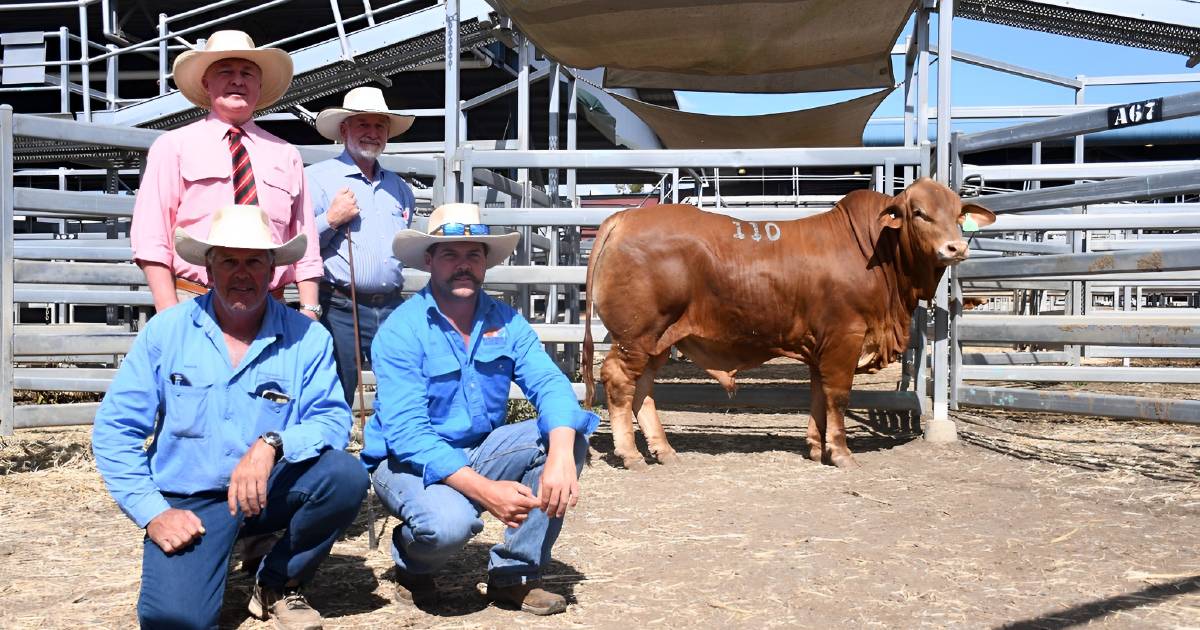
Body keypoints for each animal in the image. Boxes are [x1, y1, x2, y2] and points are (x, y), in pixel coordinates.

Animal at [580, 175, 993, 465]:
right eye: (918, 212)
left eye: (958, 214)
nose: (956, 247)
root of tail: (624, 217)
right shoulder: (845, 336)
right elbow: (838, 395)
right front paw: (841, 453)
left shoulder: (820, 344)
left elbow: (818, 394)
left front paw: (815, 447)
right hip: (636, 335)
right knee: (619, 381)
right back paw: (630, 454)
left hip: (658, 340)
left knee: (643, 388)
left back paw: (663, 450)